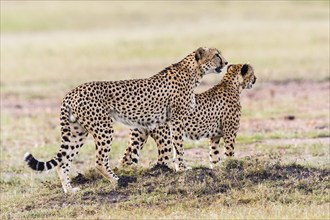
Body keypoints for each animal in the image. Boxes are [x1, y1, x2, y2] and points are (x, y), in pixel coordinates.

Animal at [24, 46, 228, 192]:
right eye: (216, 55)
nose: (226, 62)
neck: (194, 72)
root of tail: (71, 92)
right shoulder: (176, 120)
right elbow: (178, 146)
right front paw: (183, 168)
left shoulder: (162, 122)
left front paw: (174, 168)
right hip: (103, 128)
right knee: (99, 161)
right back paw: (117, 180)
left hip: (77, 132)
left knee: (63, 162)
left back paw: (70, 190)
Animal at [120, 63, 256, 168]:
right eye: (253, 73)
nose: (256, 79)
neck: (231, 84)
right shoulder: (230, 133)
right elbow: (229, 152)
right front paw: (231, 166)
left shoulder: (215, 136)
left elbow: (214, 155)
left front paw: (217, 169)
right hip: (166, 138)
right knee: (162, 160)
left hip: (139, 136)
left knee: (126, 159)